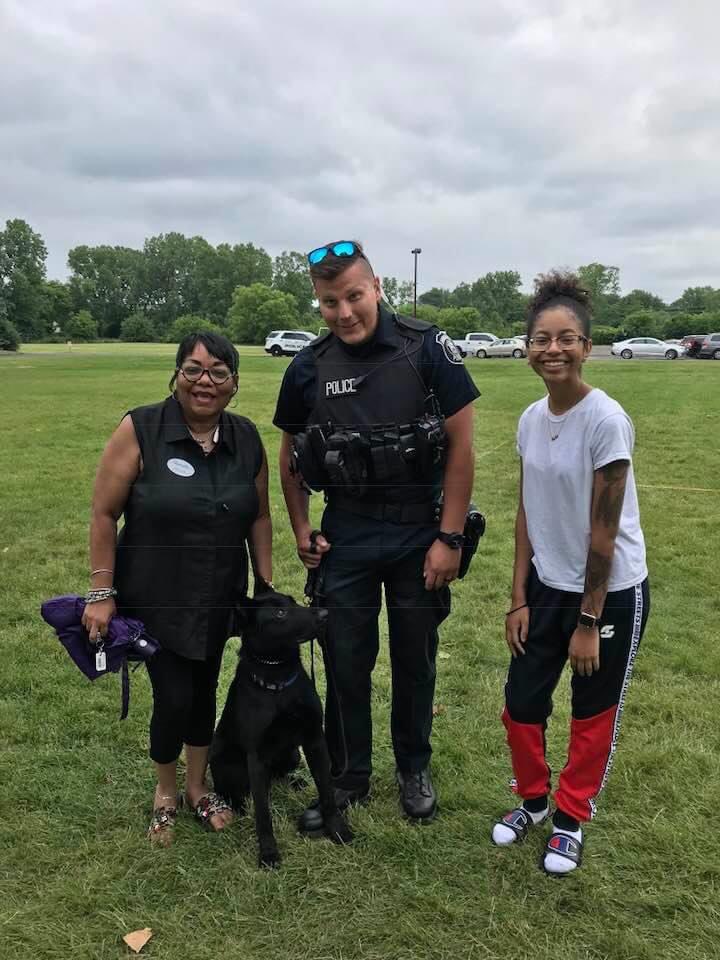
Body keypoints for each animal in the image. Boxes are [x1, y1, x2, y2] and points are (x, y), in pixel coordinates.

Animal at [210, 584, 352, 872]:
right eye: (279, 614)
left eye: (294, 602)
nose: (324, 614)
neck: (278, 681)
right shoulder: (255, 757)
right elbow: (263, 814)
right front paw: (268, 853)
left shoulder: (314, 740)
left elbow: (327, 792)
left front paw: (336, 829)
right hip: (222, 758)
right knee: (234, 789)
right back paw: (238, 804)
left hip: (293, 753)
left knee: (279, 775)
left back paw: (294, 781)